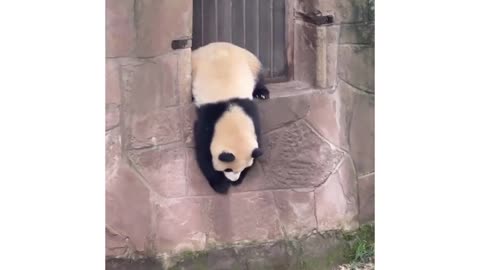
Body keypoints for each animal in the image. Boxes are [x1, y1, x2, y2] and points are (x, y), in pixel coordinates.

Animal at [191, 41, 270, 194]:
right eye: (228, 169)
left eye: (244, 168)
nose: (233, 180)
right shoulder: (208, 119)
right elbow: (203, 152)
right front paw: (220, 185)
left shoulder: (250, 113)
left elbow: (257, 144)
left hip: (251, 62)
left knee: (259, 77)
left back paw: (262, 93)